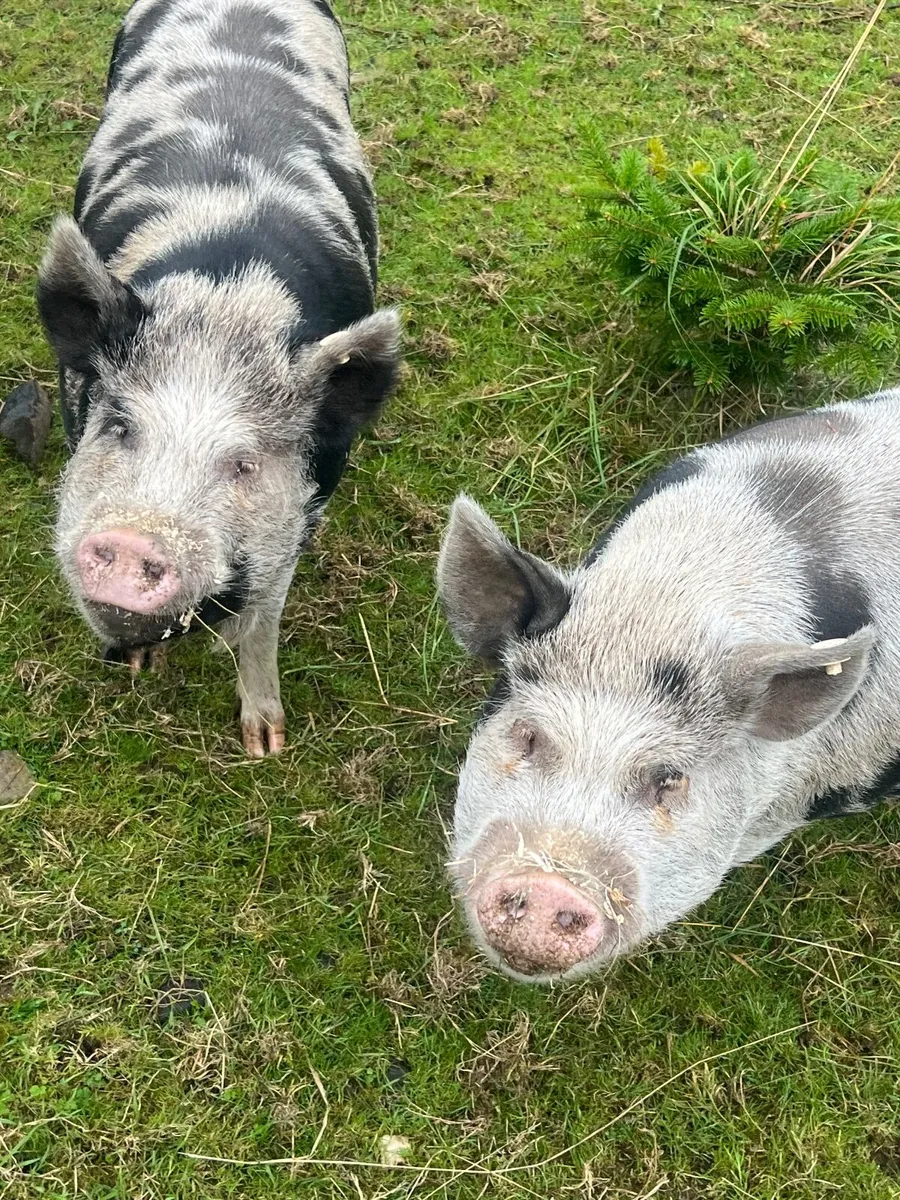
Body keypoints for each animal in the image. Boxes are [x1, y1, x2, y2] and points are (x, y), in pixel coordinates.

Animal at [36, 0, 400, 756]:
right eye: (120, 426)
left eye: (245, 463)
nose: (131, 540)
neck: (225, 298)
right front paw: (138, 663)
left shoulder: (302, 513)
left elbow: (261, 621)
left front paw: (265, 745)